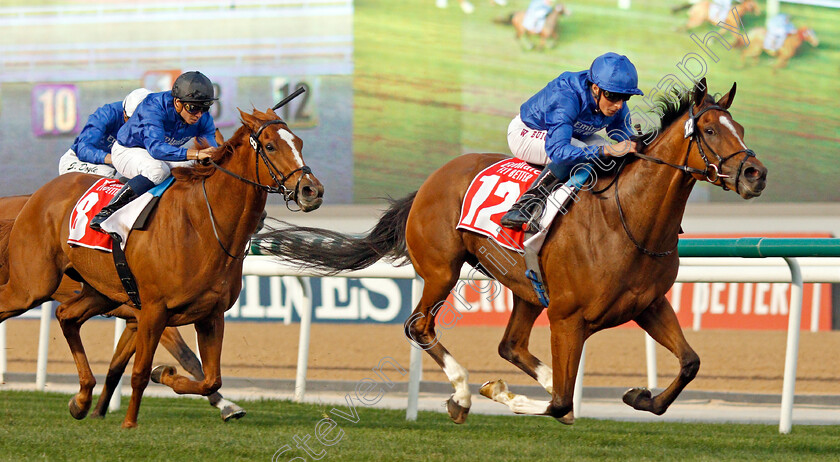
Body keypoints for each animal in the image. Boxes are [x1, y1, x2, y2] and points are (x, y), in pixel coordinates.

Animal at [0, 195, 246, 422]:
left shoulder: (135, 322)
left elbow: (116, 367)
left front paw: (96, 410)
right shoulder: (154, 314)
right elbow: (188, 357)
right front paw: (226, 405)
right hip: (29, 288)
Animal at [260, 79, 764, 422]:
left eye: (740, 126)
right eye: (708, 130)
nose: (755, 174)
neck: (629, 221)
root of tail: (430, 181)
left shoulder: (649, 305)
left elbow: (690, 363)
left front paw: (641, 396)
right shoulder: (568, 317)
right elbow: (557, 404)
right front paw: (498, 393)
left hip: (525, 286)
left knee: (511, 345)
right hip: (442, 271)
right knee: (420, 325)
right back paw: (464, 393)